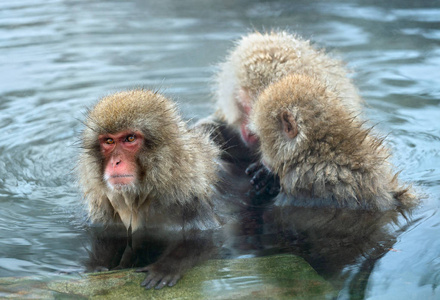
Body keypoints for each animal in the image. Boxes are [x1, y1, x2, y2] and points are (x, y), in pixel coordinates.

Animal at [77, 90, 239, 290]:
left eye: (130, 139)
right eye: (108, 141)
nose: (115, 162)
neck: (144, 193)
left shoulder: (191, 202)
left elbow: (203, 239)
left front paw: (167, 266)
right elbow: (107, 235)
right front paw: (97, 267)